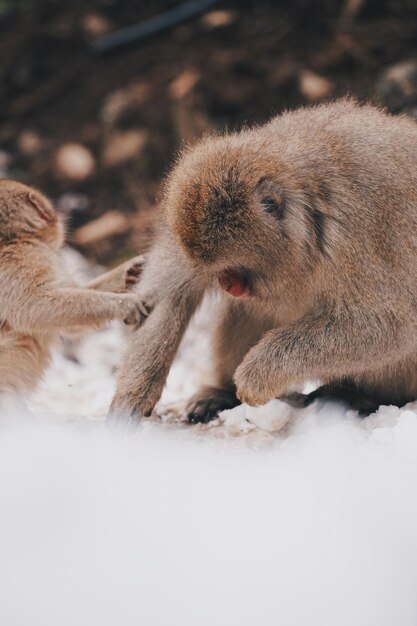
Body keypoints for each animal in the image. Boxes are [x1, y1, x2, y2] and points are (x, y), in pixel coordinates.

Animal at [109, 101, 416, 420]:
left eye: (233, 268)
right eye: (215, 270)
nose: (226, 284)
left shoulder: (354, 237)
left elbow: (388, 328)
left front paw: (257, 375)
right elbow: (164, 295)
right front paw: (132, 398)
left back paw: (357, 395)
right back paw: (222, 392)